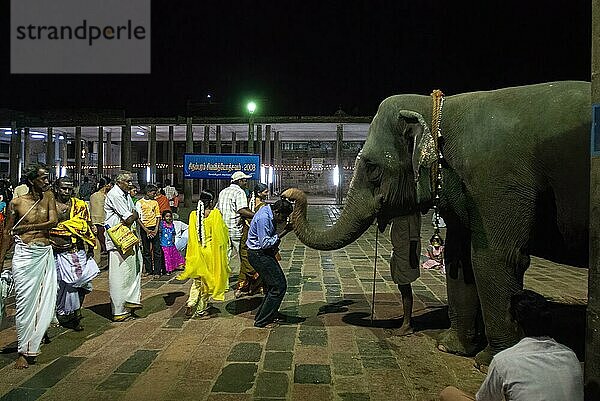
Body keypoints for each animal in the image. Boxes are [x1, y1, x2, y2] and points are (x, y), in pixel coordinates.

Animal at [282, 79, 592, 364]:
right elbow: (459, 257)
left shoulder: (497, 181)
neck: (440, 110)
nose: (287, 196)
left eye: (372, 169)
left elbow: (493, 258)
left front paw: (490, 361)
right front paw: (449, 348)